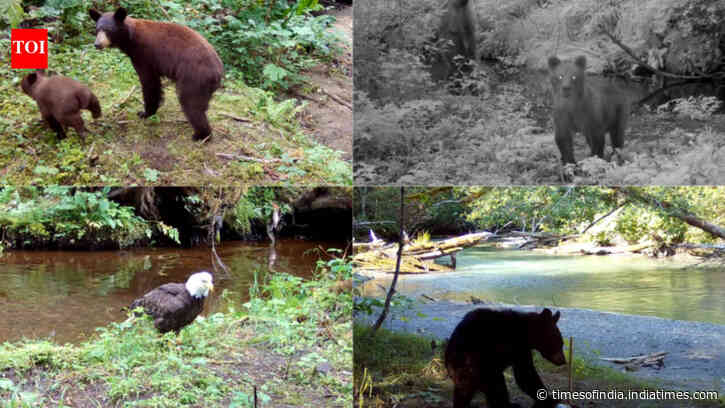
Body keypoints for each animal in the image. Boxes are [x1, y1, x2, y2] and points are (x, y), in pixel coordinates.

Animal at [89, 7, 224, 141]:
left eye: (108, 30)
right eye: (97, 29)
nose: (97, 44)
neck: (130, 38)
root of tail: (218, 71)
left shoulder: (144, 55)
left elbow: (149, 82)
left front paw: (145, 113)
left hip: (193, 78)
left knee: (191, 104)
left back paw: (201, 135)